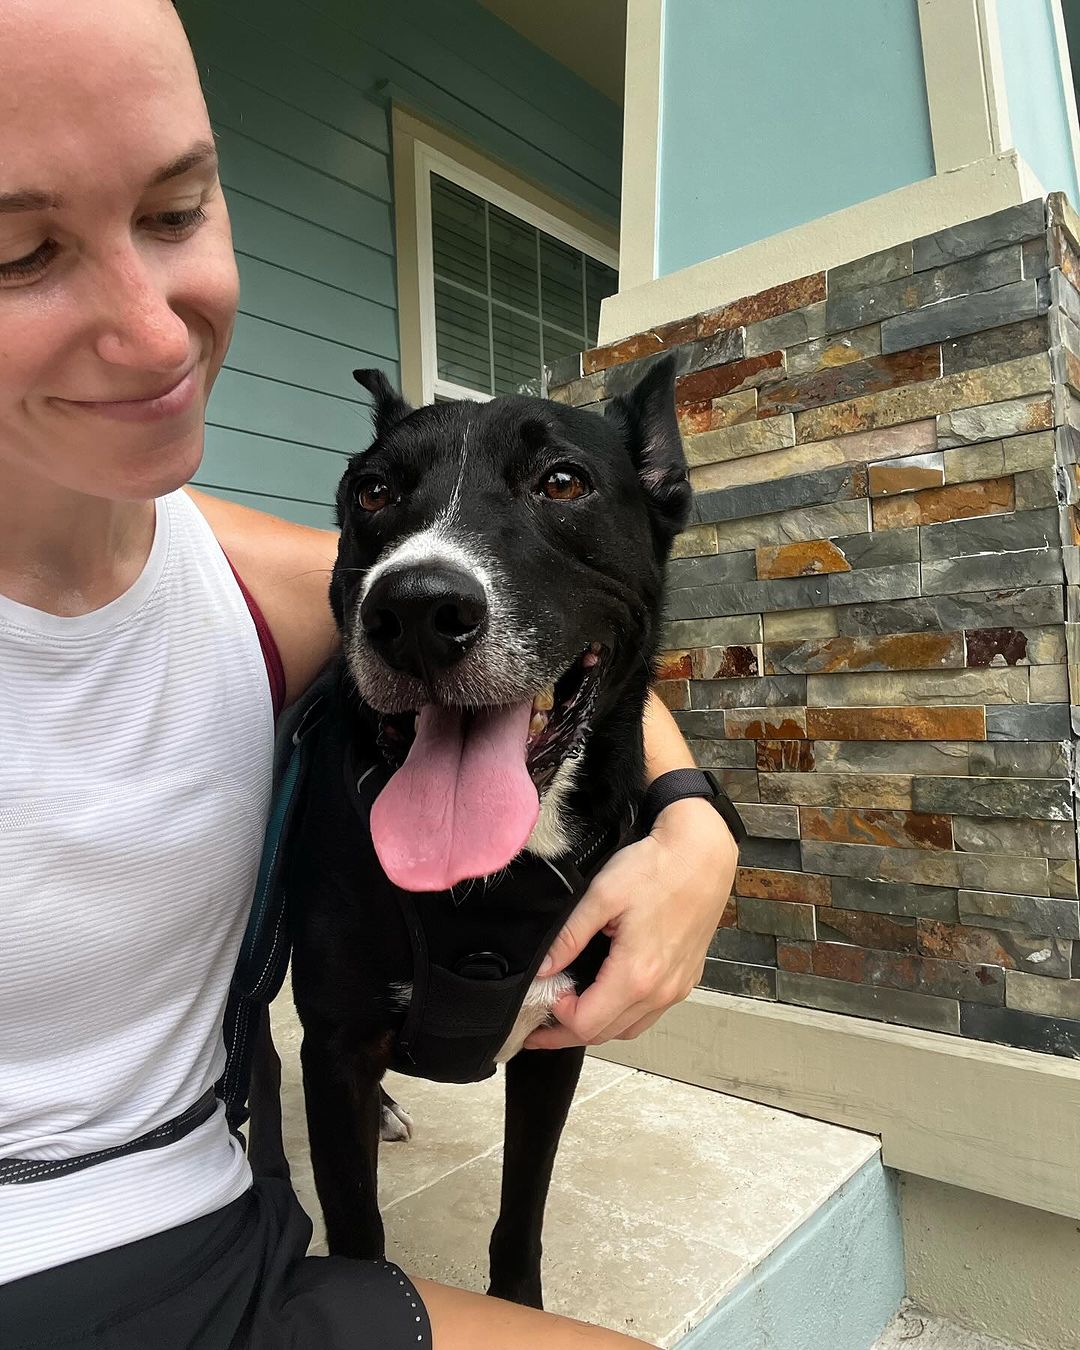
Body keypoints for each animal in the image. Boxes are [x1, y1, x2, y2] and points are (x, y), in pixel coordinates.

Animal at [253, 356, 691, 1306]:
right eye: (373, 492)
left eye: (562, 482)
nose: (416, 611)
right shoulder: (337, 1050)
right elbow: (357, 1226)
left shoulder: (558, 1043)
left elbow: (521, 1205)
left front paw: (519, 1302)